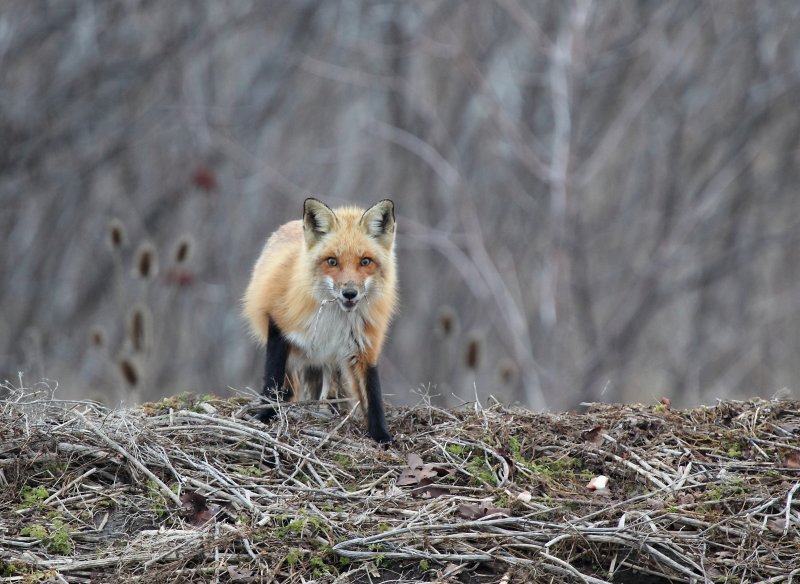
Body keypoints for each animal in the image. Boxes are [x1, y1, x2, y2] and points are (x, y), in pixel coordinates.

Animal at [241, 198, 396, 440]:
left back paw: (327, 410)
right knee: (289, 387)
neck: (334, 319)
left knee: (328, 389)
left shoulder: (365, 345)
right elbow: (273, 380)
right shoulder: (278, 324)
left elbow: (372, 394)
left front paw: (381, 436)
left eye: (365, 261)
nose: (349, 293)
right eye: (332, 261)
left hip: (330, 358)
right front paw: (265, 416)